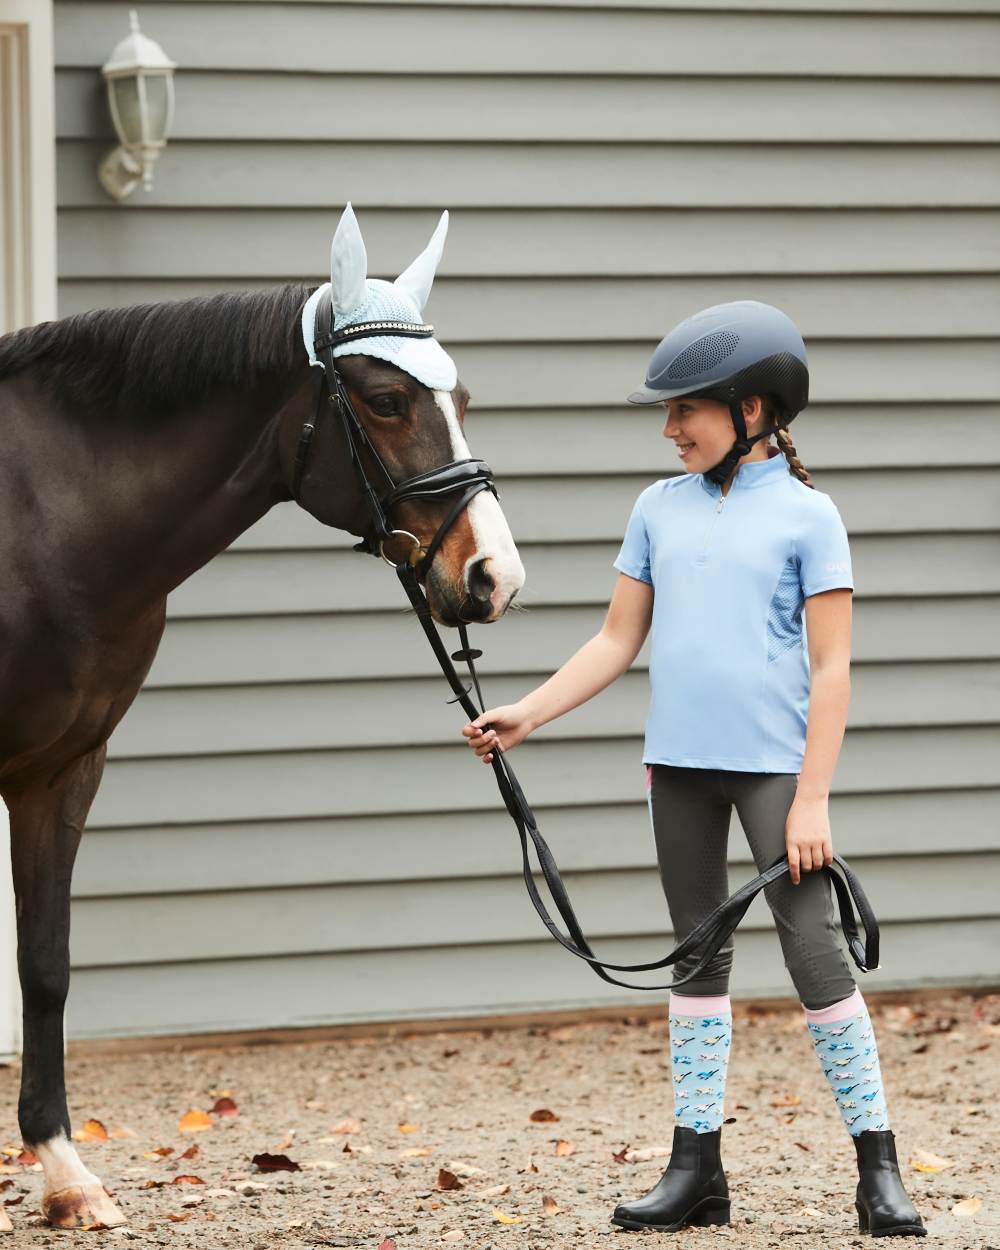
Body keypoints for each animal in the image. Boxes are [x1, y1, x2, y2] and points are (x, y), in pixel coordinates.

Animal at [0, 278, 527, 1225]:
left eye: (461, 399)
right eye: (386, 401)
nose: (493, 577)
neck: (36, 520)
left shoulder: (60, 770)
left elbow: (45, 964)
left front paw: (66, 1175)